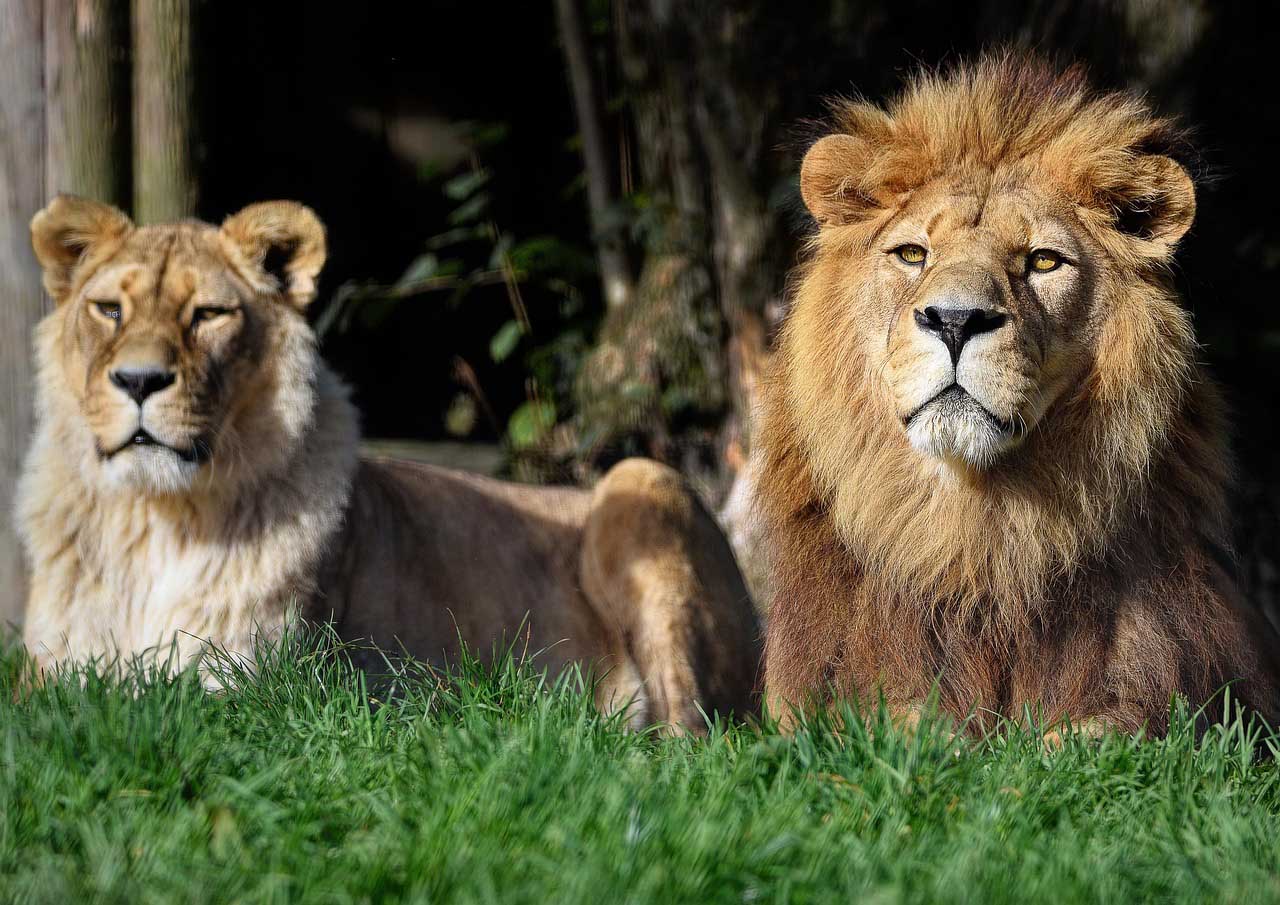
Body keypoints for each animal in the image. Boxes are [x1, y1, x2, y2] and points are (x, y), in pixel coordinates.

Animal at [17, 195, 762, 731]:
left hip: (641, 483)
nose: (139, 380)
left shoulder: (252, 684)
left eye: (207, 315)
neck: (158, 515)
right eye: (108, 309)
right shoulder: (48, 678)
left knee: (688, 735)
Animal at [757, 55, 1280, 738]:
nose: (955, 320)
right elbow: (896, 727)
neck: (977, 537)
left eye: (1043, 261)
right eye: (912, 253)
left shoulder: (1176, 691)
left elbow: (1093, 737)